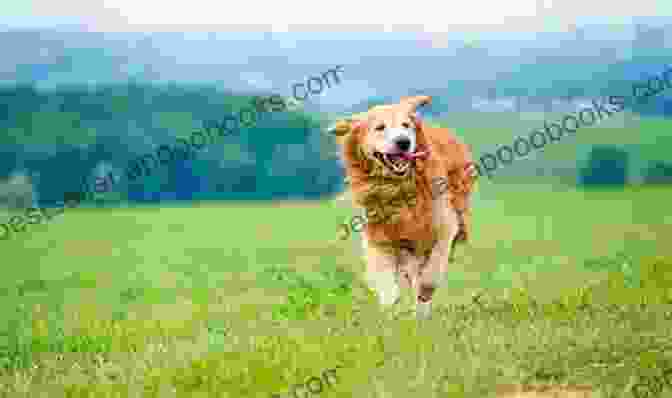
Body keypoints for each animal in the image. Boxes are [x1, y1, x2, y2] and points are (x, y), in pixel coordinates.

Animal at [326, 96, 478, 320]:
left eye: (406, 125)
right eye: (380, 127)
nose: (403, 142)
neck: (398, 187)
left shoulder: (444, 226)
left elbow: (431, 273)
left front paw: (423, 298)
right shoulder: (378, 237)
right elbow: (386, 279)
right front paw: (389, 309)